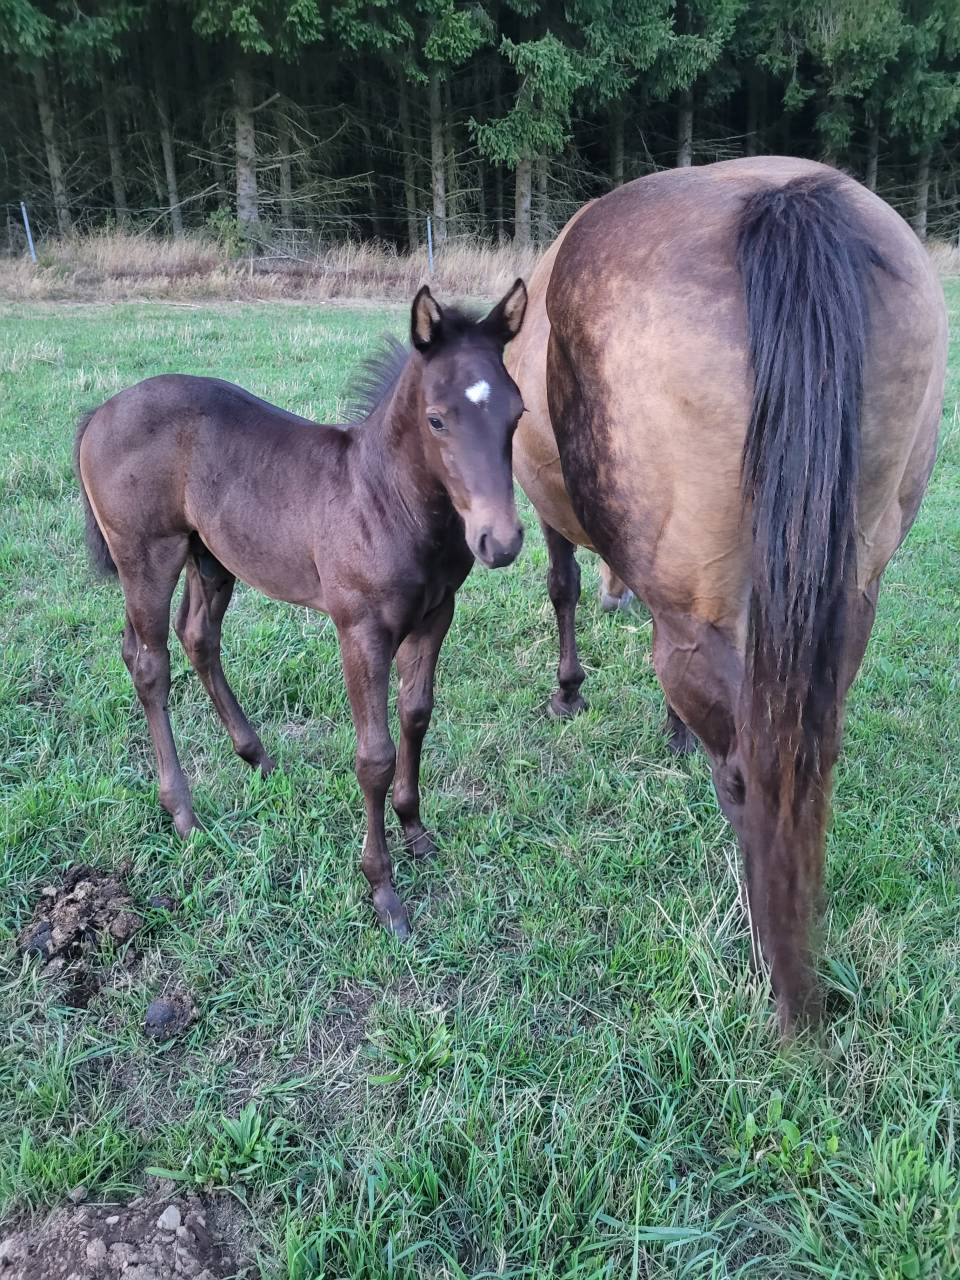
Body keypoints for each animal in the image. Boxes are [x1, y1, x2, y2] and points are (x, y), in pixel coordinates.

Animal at [74, 281, 528, 937]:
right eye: (437, 419)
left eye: (517, 415)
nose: (501, 540)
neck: (389, 500)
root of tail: (100, 413)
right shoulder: (360, 631)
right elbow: (374, 756)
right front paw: (383, 891)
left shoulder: (436, 617)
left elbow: (416, 716)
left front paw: (416, 831)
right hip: (147, 555)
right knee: (149, 662)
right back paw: (183, 812)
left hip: (210, 554)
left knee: (198, 637)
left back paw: (259, 759)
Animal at [507, 157, 947, 1031]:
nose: (619, 597)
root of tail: (786, 205)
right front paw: (673, 732)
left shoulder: (552, 514)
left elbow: (559, 586)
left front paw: (570, 690)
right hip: (848, 604)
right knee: (802, 760)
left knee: (751, 773)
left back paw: (779, 975)